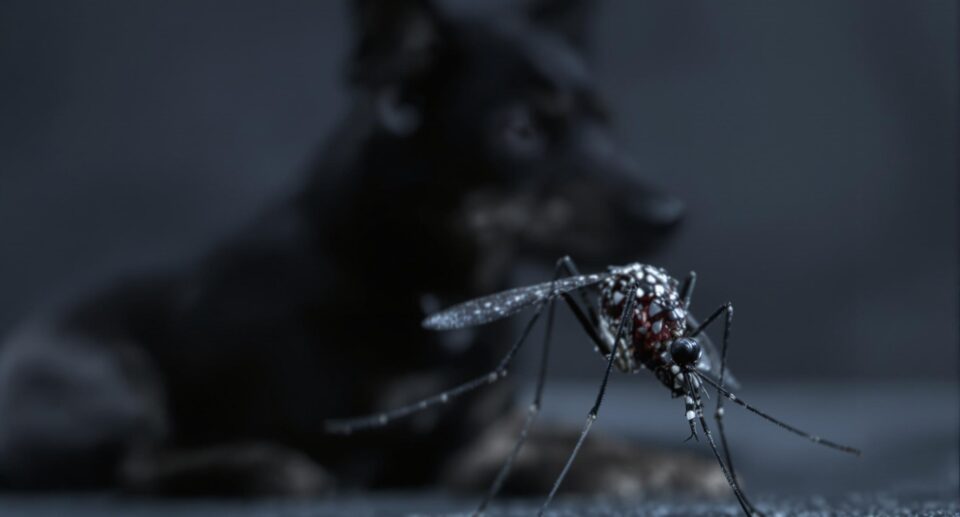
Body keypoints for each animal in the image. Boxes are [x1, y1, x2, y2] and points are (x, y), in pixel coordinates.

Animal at [0, 0, 704, 500]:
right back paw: (262, 468)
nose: (669, 216)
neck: (425, 278)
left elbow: (585, 434)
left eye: (607, 123)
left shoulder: (484, 425)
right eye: (521, 129)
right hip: (108, 376)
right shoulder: (407, 453)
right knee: (131, 466)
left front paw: (673, 464)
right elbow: (551, 454)